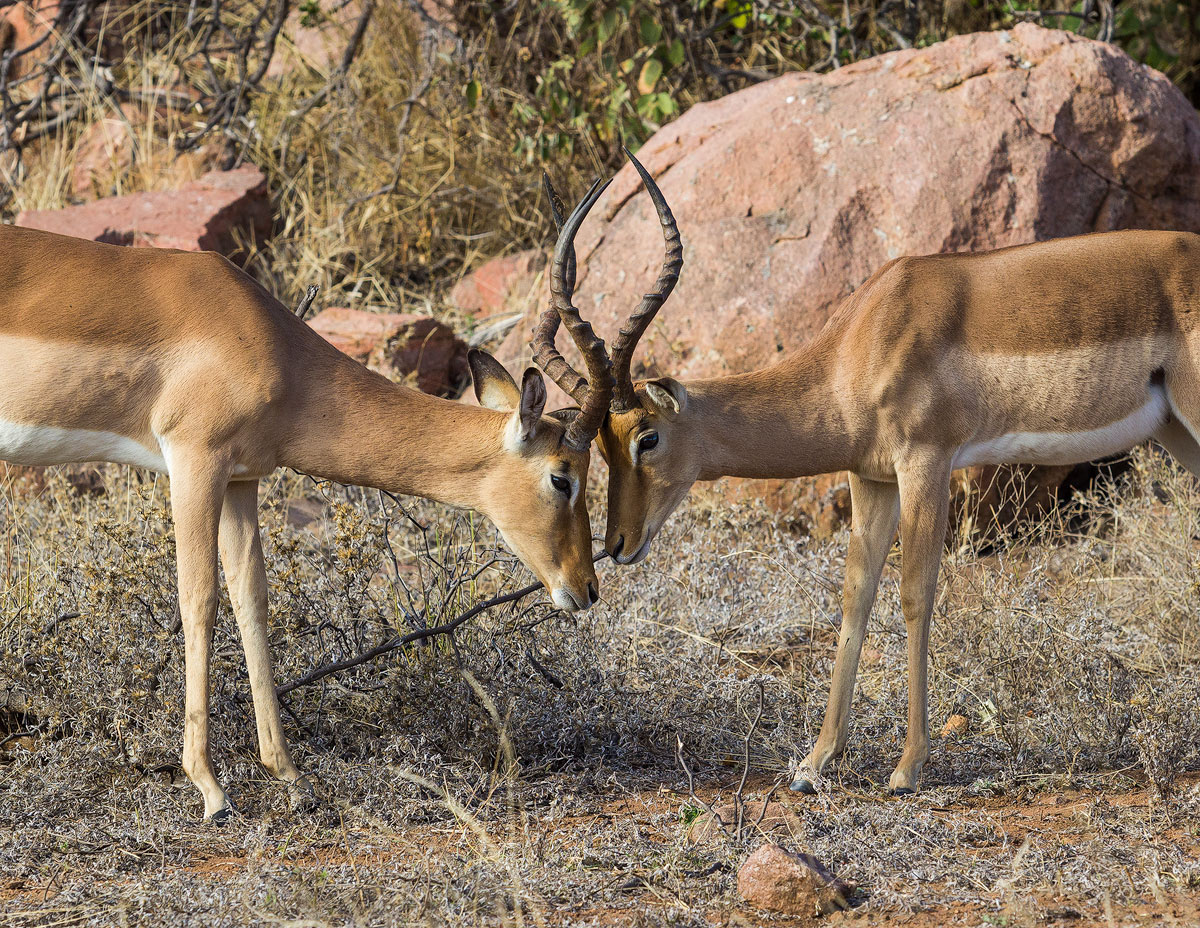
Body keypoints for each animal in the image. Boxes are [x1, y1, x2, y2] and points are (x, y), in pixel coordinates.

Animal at [0, 221, 612, 820]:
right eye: (562, 477)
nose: (586, 588)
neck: (268, 344)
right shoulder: (195, 462)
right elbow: (199, 600)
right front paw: (211, 790)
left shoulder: (241, 479)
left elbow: (250, 598)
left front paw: (292, 778)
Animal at [536, 150, 1200, 795]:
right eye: (601, 446)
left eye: (647, 437)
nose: (618, 544)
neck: (865, 337)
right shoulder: (871, 477)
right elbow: (855, 597)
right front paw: (814, 764)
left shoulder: (925, 462)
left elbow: (914, 596)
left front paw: (906, 769)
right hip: (1177, 432)